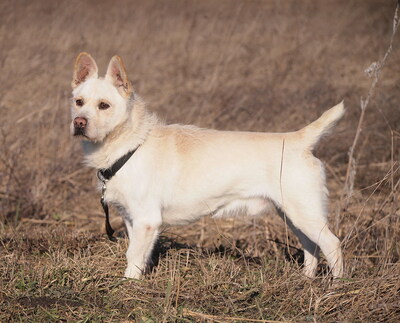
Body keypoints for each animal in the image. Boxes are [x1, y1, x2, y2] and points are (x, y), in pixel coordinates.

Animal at [69, 52, 344, 280]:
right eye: (79, 102)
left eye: (104, 105)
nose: (79, 122)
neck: (131, 144)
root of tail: (298, 139)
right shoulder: (131, 219)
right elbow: (139, 254)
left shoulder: (147, 221)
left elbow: (133, 257)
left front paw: (128, 286)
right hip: (293, 215)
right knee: (311, 247)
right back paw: (306, 280)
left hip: (304, 214)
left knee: (333, 245)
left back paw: (337, 286)